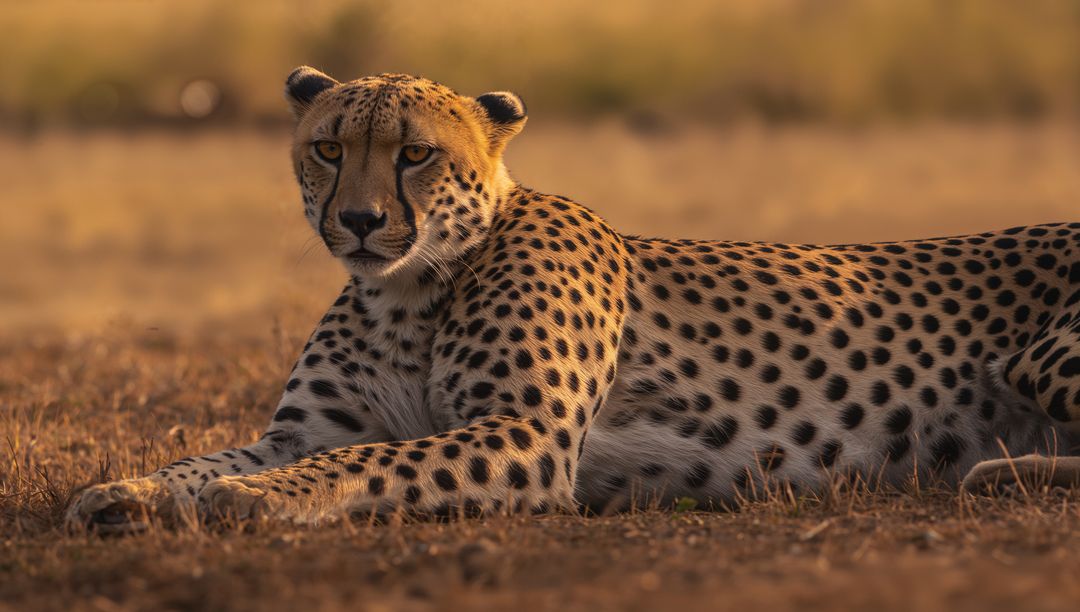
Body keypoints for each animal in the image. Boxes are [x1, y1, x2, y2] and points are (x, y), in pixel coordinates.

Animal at [66, 67, 1080, 533]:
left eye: (414, 153)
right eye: (328, 147)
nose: (356, 220)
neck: (410, 291)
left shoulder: (528, 436)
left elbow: (366, 461)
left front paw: (252, 497)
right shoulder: (303, 429)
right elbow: (203, 457)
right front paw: (123, 491)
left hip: (1043, 356)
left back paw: (999, 473)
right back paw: (999, 471)